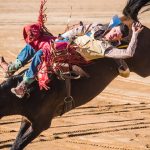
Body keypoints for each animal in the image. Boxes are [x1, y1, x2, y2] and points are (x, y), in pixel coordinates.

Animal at [0, 0, 150, 150]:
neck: (33, 90)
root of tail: (131, 19)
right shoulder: (27, 119)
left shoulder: (40, 124)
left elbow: (18, 144)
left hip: (144, 68)